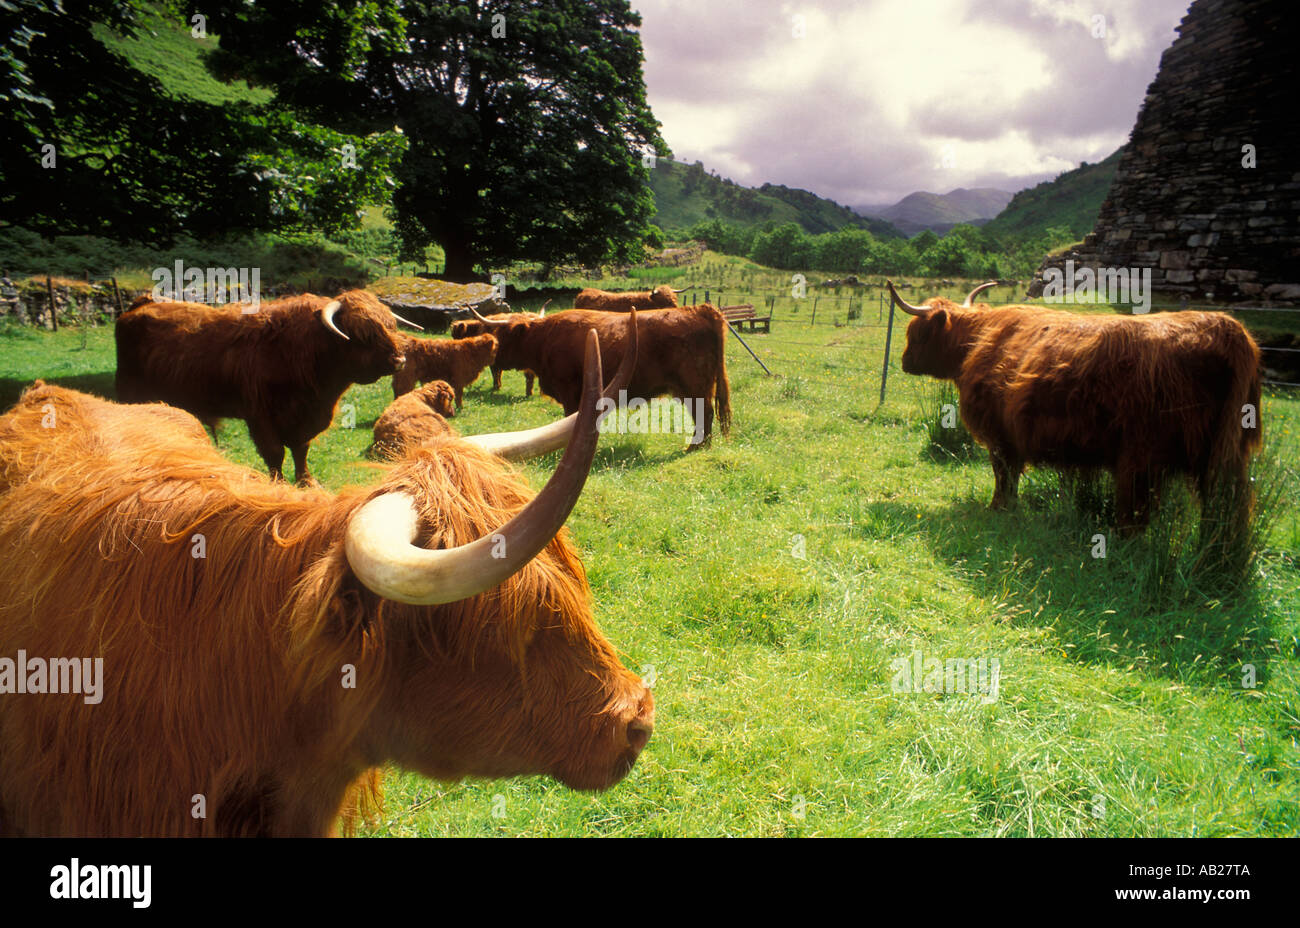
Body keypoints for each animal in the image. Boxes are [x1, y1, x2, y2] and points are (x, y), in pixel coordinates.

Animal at [115, 290, 411, 486]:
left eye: (389, 326)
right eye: (363, 334)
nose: (399, 360)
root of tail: (136, 307)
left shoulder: (304, 418)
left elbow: (301, 450)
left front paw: (307, 481)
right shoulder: (260, 415)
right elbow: (274, 452)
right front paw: (279, 484)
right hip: (130, 391)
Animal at [471, 304, 731, 444]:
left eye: (503, 333)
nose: (494, 359)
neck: (545, 338)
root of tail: (699, 310)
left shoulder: (570, 392)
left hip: (694, 386)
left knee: (705, 414)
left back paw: (695, 447)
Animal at [887, 280, 1263, 532]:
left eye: (916, 333)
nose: (904, 361)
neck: (976, 342)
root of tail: (1228, 329)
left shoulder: (1000, 435)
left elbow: (1003, 475)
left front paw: (997, 508)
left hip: (1141, 456)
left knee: (1135, 511)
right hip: (1227, 457)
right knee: (1229, 509)